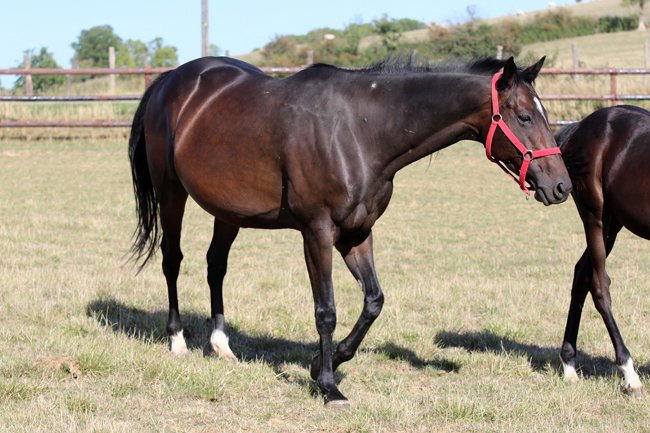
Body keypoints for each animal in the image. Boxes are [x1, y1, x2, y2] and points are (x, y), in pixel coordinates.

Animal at [128, 55, 572, 406]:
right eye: (524, 116)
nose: (561, 186)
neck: (359, 131)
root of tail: (168, 81)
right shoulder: (317, 232)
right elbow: (326, 310)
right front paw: (328, 386)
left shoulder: (358, 233)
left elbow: (374, 301)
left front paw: (322, 363)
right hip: (171, 193)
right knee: (172, 260)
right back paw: (178, 341)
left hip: (228, 211)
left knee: (215, 265)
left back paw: (221, 346)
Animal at [556, 105, 650, 396]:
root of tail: (578, 127)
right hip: (595, 217)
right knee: (599, 285)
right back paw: (629, 374)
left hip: (613, 225)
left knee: (581, 273)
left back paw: (569, 364)